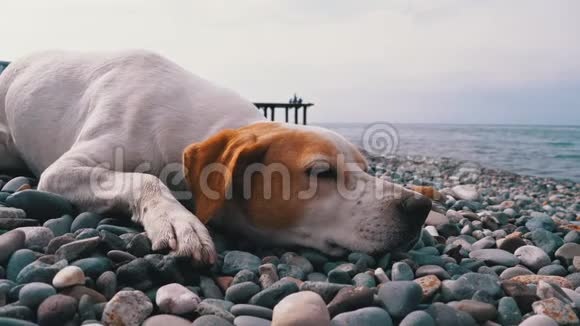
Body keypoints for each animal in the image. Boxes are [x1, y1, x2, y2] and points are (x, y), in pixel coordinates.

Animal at [0, 51, 430, 264]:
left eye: (368, 169)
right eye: (321, 172)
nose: (421, 206)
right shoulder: (61, 171)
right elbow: (145, 179)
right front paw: (179, 223)